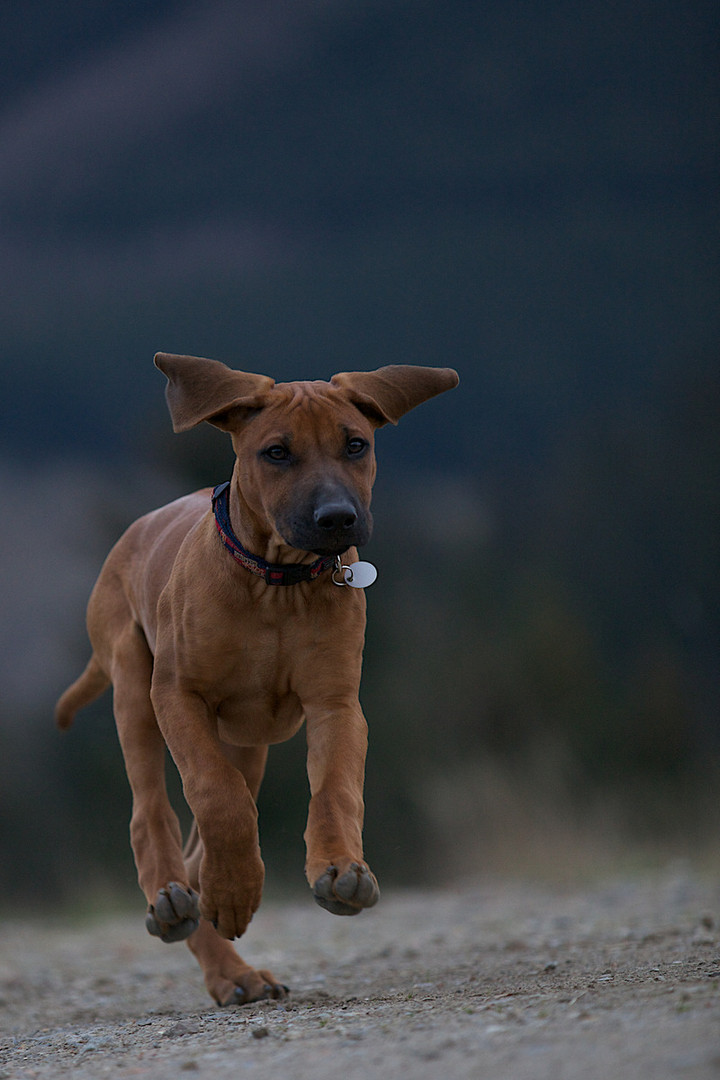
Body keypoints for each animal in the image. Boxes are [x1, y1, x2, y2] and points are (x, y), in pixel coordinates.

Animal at [57, 354, 462, 1002]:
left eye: (356, 445)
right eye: (276, 452)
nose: (337, 519)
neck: (277, 582)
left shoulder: (336, 703)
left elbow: (336, 788)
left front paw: (341, 870)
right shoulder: (178, 695)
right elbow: (217, 796)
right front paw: (234, 889)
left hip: (245, 742)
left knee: (202, 841)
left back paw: (227, 961)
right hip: (134, 687)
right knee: (152, 814)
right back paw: (178, 900)